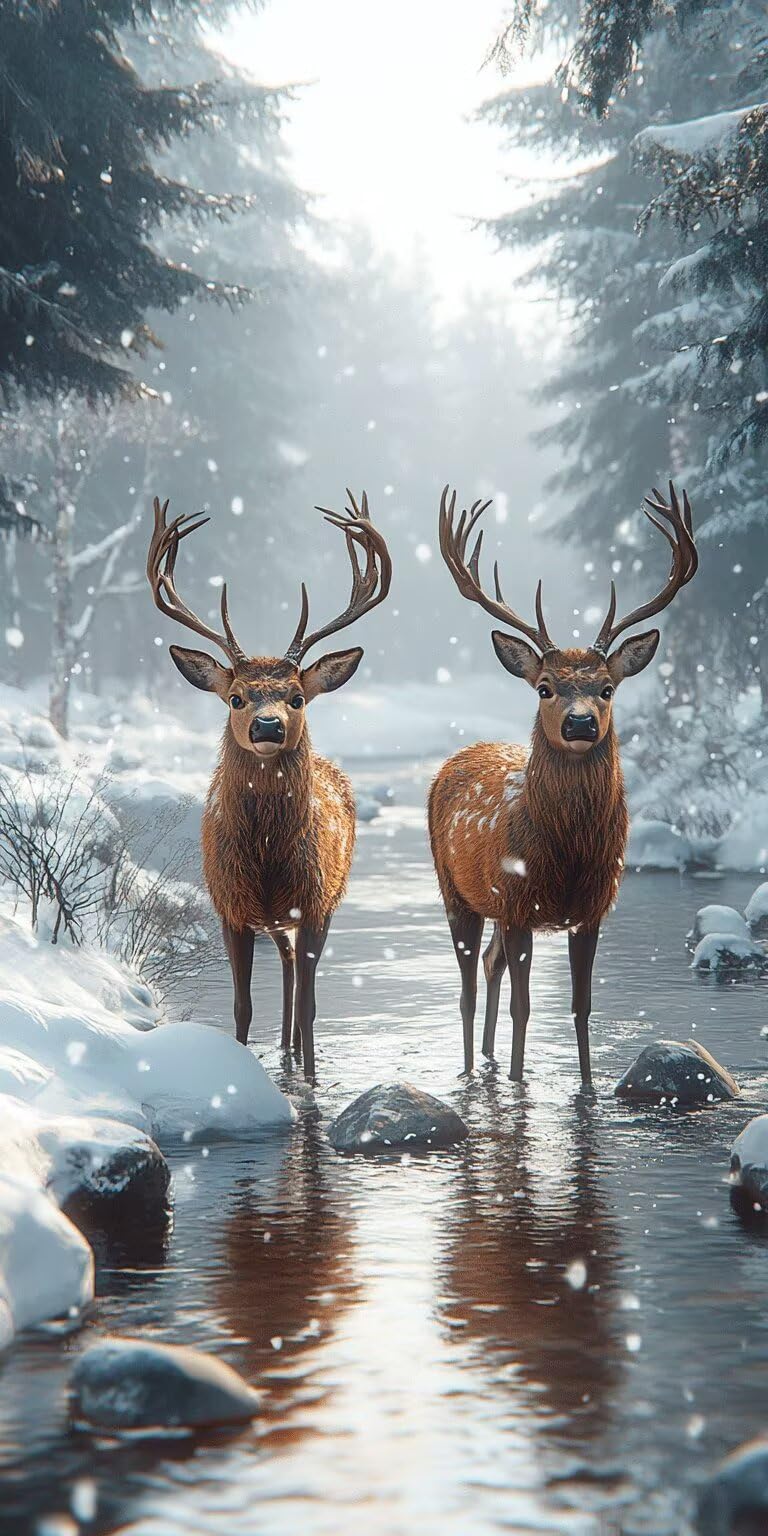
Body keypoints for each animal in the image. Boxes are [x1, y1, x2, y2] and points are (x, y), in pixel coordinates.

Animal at [147, 489, 391, 1081]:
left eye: (297, 697)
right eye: (236, 697)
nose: (267, 726)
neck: (265, 860)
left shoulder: (315, 901)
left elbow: (310, 1004)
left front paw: (310, 1080)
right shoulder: (229, 906)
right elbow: (241, 1006)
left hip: (320, 902)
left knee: (300, 985)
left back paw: (294, 1054)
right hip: (275, 923)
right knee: (284, 973)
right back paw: (282, 1049)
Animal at [428, 481, 697, 1087]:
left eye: (607, 688)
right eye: (545, 687)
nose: (579, 724)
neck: (567, 854)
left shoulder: (592, 908)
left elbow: (581, 1006)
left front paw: (588, 1086)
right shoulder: (519, 901)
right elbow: (525, 1005)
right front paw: (518, 1082)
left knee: (489, 966)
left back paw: (486, 1057)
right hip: (456, 891)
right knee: (466, 986)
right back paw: (469, 1069)